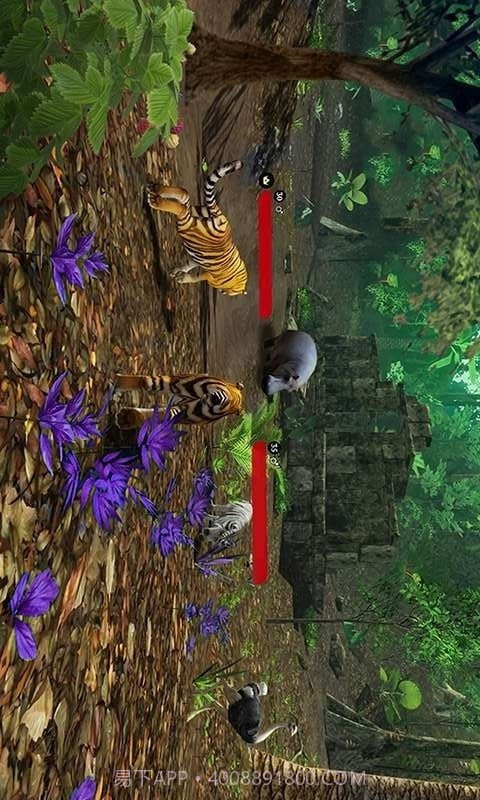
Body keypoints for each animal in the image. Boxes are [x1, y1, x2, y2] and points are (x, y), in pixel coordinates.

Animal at [114, 372, 245, 427]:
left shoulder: (182, 412)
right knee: (147, 381)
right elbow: (145, 382)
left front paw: (126, 418)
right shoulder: (176, 383)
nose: (217, 399)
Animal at [146, 160, 248, 296]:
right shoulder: (211, 277)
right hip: (188, 226)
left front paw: (176, 273)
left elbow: (188, 265)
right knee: (182, 209)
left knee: (184, 195)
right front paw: (182, 278)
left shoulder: (198, 259)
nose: (222, 292)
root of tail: (223, 221)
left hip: (195, 212)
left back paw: (155, 189)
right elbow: (196, 277)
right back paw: (155, 200)